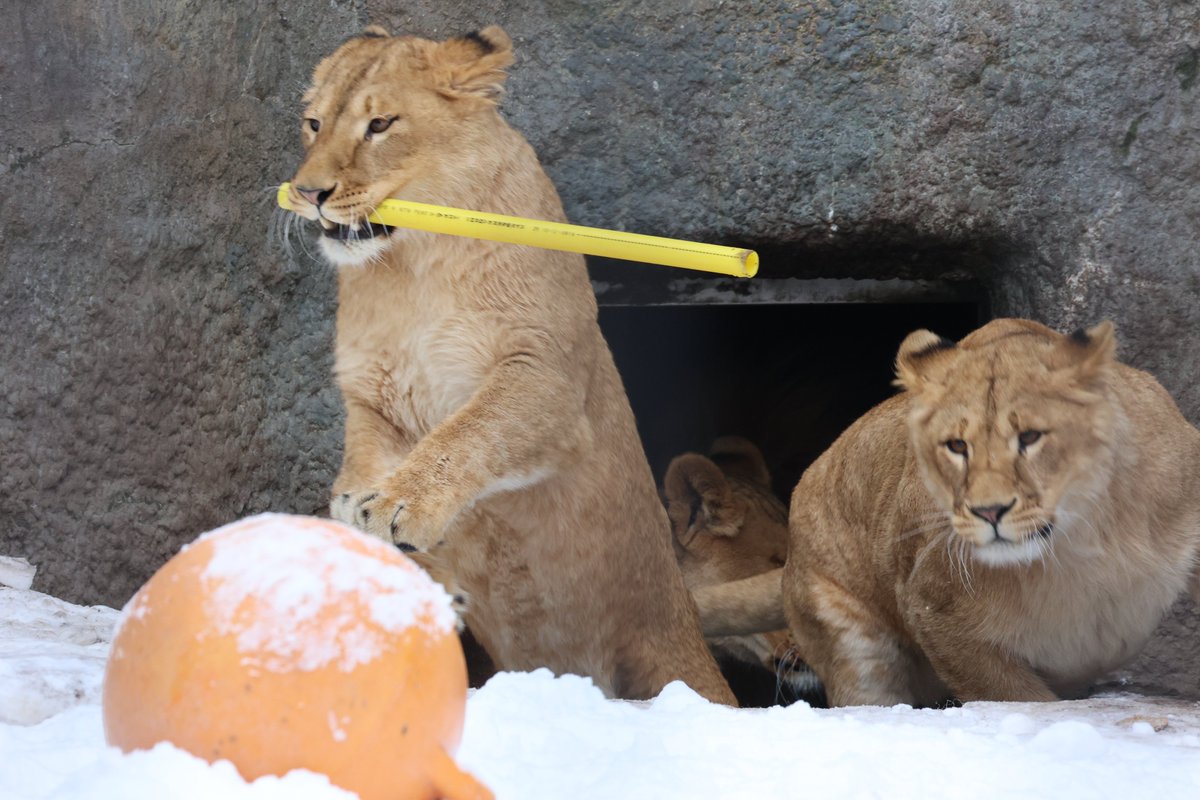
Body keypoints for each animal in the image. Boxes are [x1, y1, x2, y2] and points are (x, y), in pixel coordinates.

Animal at [282, 25, 734, 705]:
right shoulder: (371, 391)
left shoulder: (542, 374)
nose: (309, 194)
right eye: (313, 123)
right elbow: (361, 457)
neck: (412, 267)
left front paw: (400, 507)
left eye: (380, 124)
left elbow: (466, 435)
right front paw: (360, 516)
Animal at [696, 319, 1200, 705]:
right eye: (957, 446)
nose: (989, 511)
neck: (1078, 547)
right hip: (852, 646)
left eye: (1030, 437)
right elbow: (1017, 697)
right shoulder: (929, 607)